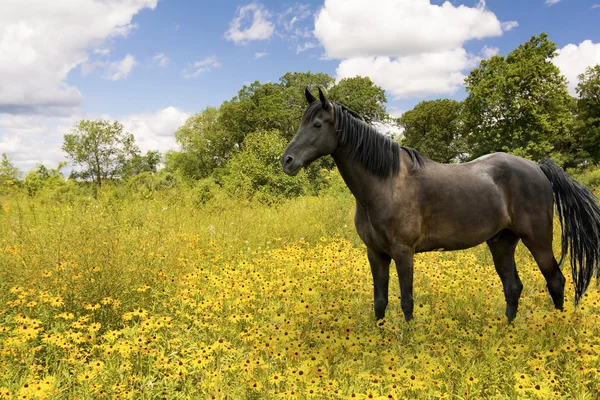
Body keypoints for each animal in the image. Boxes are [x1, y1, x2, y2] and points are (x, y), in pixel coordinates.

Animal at [280, 86, 600, 324]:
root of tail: (538, 167)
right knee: (513, 287)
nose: (287, 161)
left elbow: (406, 301)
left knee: (556, 281)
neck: (385, 183)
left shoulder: (403, 252)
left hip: (538, 239)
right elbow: (380, 301)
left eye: (317, 125)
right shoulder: (376, 253)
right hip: (501, 242)